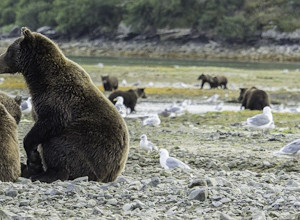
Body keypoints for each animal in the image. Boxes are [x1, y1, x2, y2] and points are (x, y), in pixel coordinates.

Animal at [0, 27, 129, 182]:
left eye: (8, 50)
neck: (39, 77)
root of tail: (113, 174)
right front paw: (33, 161)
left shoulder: (59, 98)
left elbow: (52, 121)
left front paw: (34, 158)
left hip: (90, 147)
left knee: (58, 145)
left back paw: (45, 174)